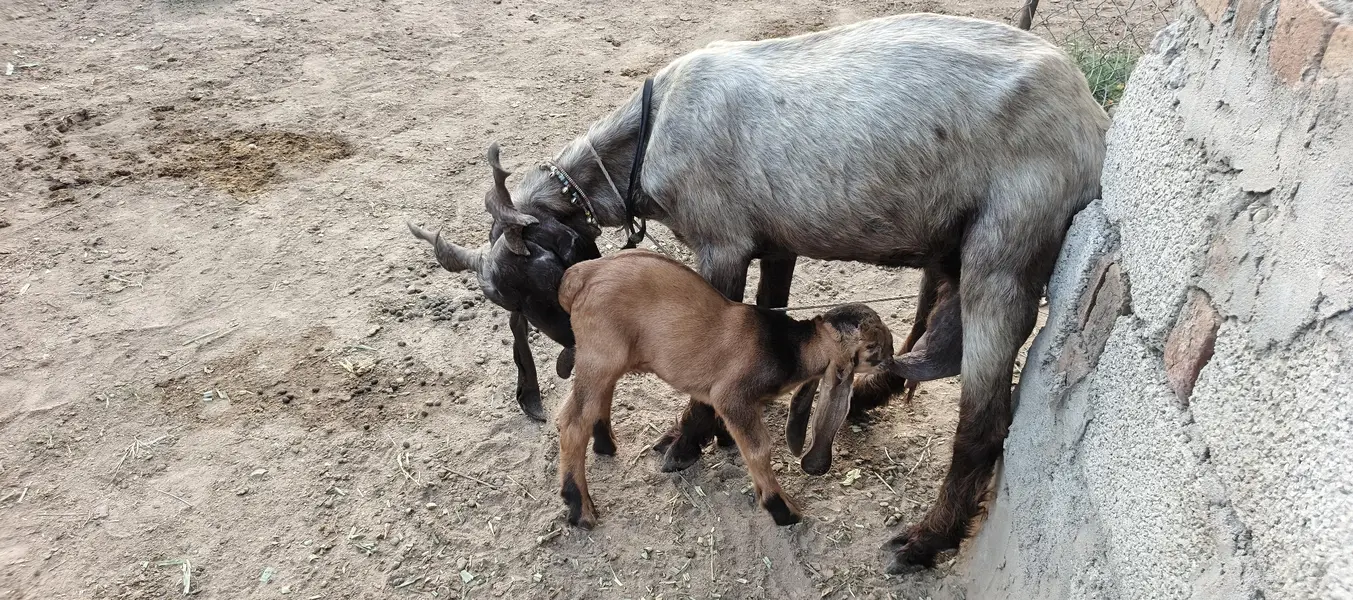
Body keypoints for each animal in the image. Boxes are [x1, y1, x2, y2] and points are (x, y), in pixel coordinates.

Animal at [555, 249, 892, 528]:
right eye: (874, 347)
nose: (891, 361)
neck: (788, 346)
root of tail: (581, 274)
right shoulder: (732, 397)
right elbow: (758, 448)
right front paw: (781, 508)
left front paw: (721, 440)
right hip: (601, 355)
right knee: (572, 421)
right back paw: (580, 507)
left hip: (607, 359)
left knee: (597, 400)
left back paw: (605, 444)